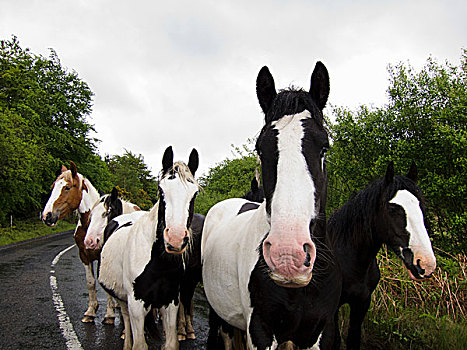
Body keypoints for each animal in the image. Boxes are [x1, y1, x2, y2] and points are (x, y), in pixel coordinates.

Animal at [98, 147, 200, 350]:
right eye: (161, 190)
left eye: (195, 194)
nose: (175, 239)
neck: (158, 263)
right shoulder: (136, 304)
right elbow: (139, 344)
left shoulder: (171, 302)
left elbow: (171, 342)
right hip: (123, 298)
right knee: (126, 319)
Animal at [324, 161, 436, 350]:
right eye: (392, 209)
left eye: (422, 206)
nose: (425, 263)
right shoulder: (331, 310)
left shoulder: (362, 303)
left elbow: (353, 339)